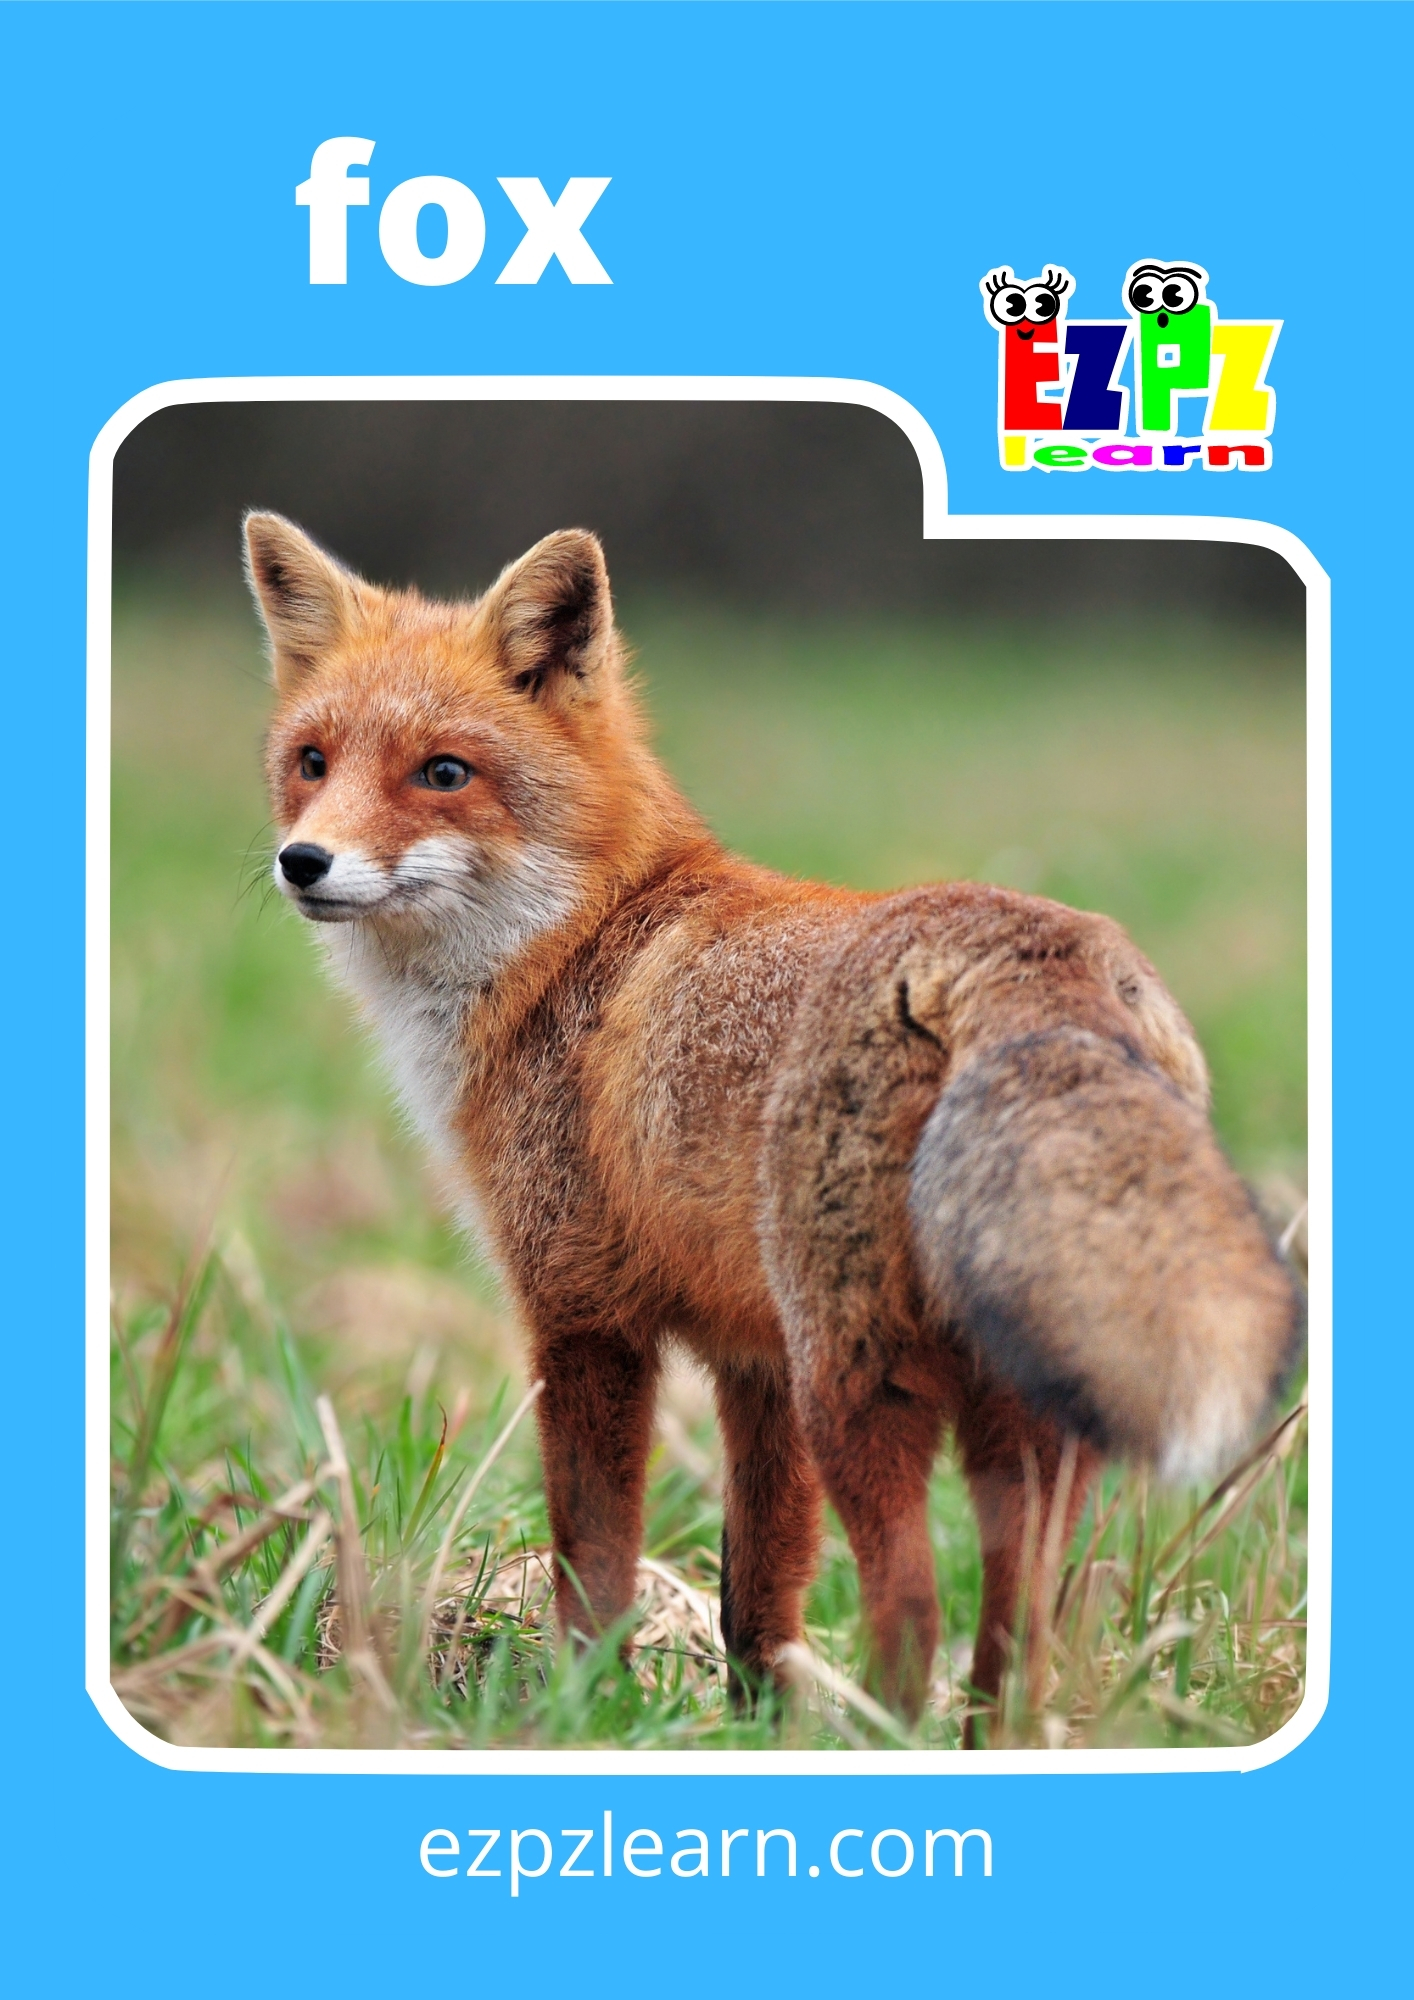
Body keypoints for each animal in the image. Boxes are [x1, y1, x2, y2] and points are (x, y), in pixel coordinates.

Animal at [244, 510, 1302, 1732]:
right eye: (312, 763)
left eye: (444, 773)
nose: (304, 861)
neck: (577, 944)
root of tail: (1030, 951)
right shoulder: (753, 1359)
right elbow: (757, 1592)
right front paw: (748, 1725)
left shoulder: (585, 1315)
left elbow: (593, 1560)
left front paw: (586, 1711)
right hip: (1013, 1416)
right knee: (1016, 1631)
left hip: (864, 1388)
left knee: (912, 1612)